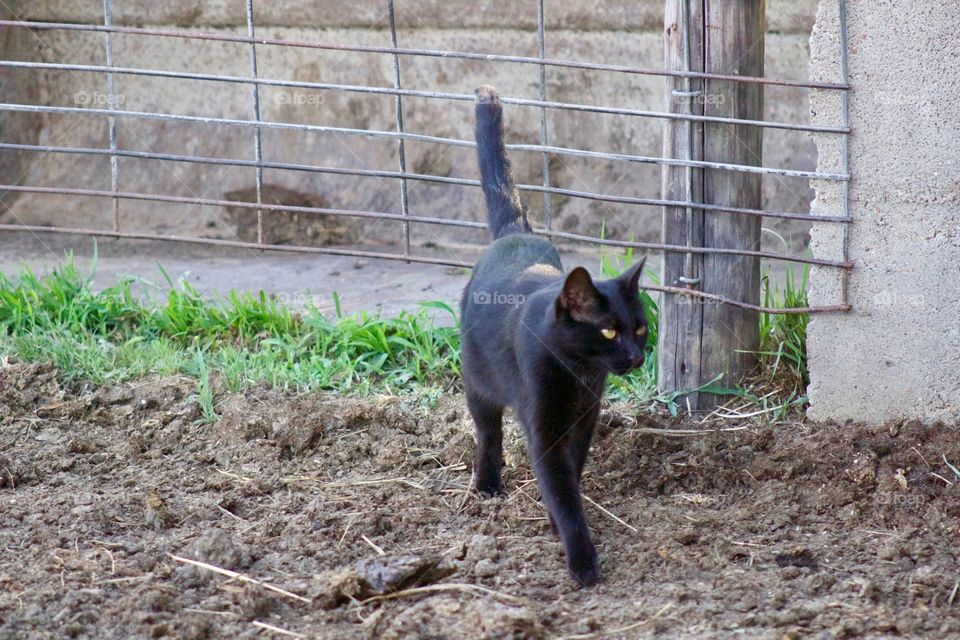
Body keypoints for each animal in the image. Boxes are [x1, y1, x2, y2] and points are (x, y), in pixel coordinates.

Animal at [462, 85, 648, 584]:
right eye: (608, 331)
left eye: (641, 328)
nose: (636, 356)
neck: (579, 373)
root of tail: (514, 233)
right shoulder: (544, 427)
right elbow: (560, 486)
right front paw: (581, 559)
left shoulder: (585, 418)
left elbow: (571, 473)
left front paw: (555, 522)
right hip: (477, 382)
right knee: (487, 432)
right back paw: (487, 484)